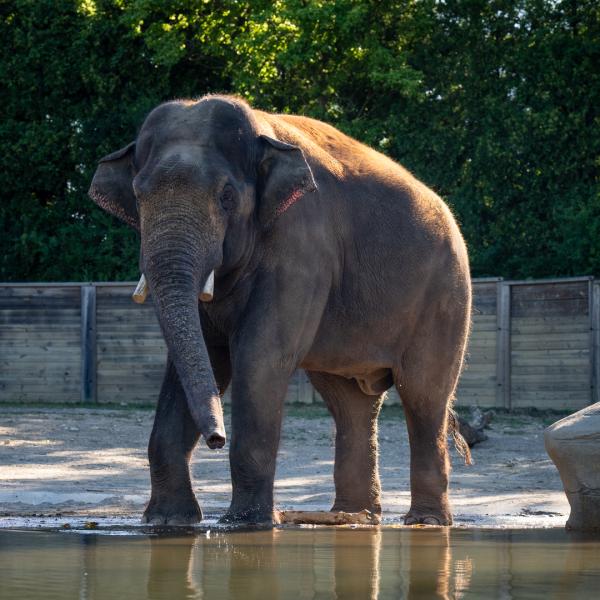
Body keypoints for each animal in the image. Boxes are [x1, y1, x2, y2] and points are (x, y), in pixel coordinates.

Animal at [90, 94, 474, 524]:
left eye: (227, 197)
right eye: (138, 196)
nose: (216, 439)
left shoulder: (302, 244)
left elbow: (260, 357)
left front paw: (246, 523)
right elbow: (203, 358)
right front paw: (169, 521)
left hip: (445, 296)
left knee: (423, 396)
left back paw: (425, 522)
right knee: (350, 404)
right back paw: (353, 517)